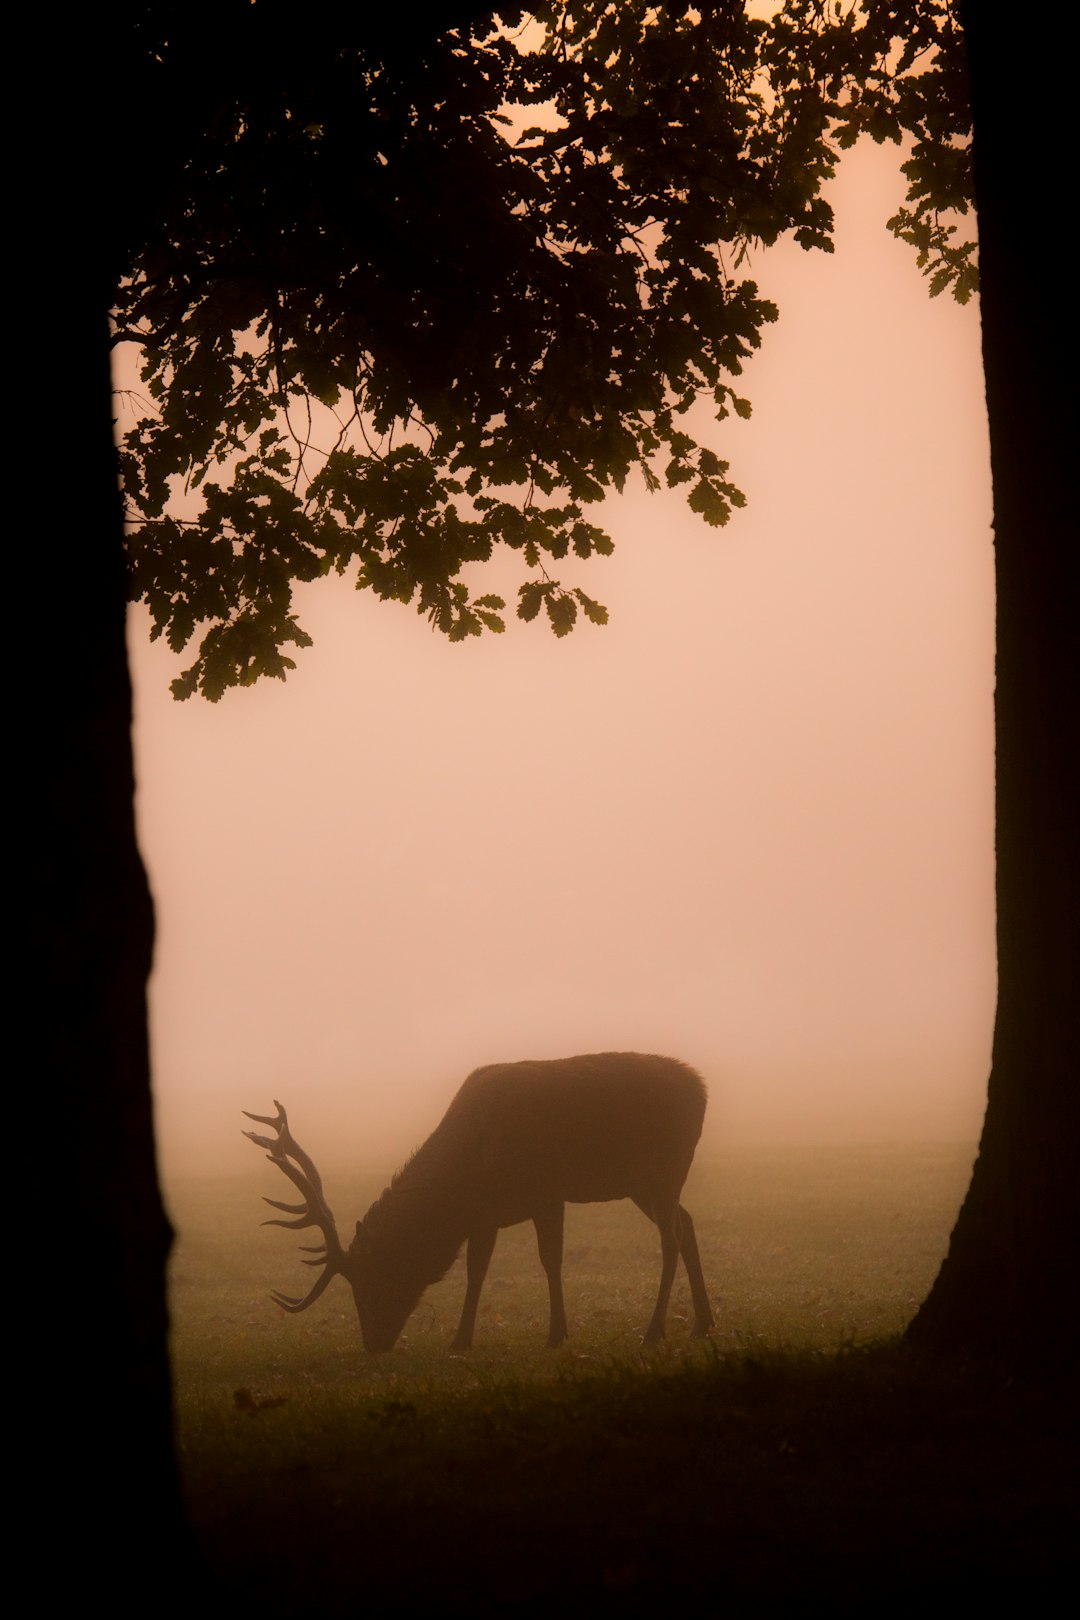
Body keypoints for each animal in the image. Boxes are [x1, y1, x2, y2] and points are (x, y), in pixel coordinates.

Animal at [246, 1049, 718, 1354]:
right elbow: (477, 1273)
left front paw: (555, 1334)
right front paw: (462, 1339)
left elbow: (550, 1260)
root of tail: (701, 1088)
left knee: (671, 1239)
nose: (373, 1344)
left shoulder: (546, 1192)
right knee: (688, 1223)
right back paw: (702, 1323)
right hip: (643, 1184)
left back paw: (654, 1331)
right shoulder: (485, 1217)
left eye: (368, 1285)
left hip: (666, 1169)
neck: (466, 1180)